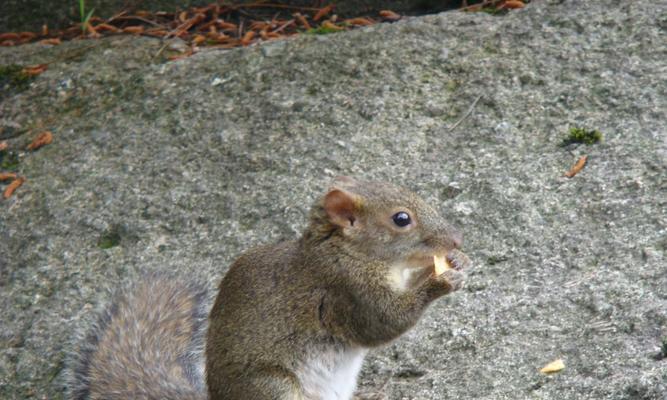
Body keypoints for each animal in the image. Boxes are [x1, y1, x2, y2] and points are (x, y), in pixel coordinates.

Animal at [65, 177, 468, 400]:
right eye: (401, 219)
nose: (457, 239)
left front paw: (455, 263)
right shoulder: (343, 291)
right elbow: (381, 323)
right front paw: (439, 281)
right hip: (271, 389)